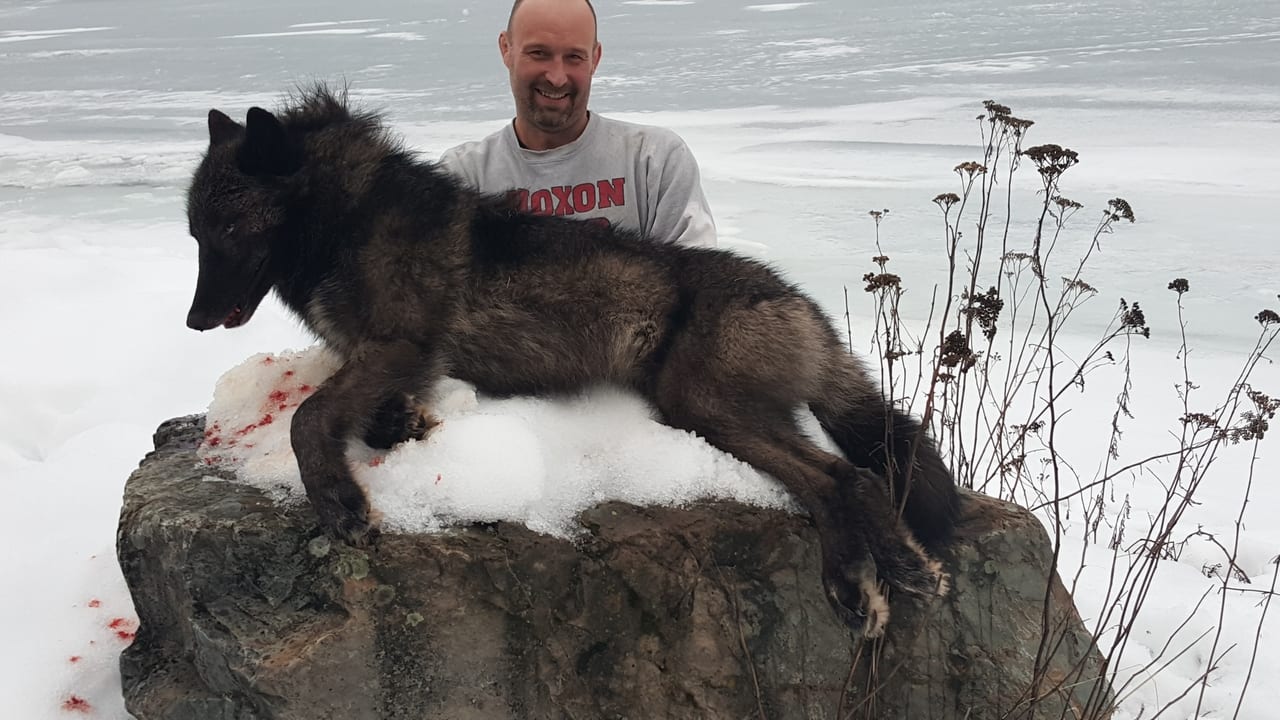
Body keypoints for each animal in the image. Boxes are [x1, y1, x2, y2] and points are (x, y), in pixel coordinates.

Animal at [183, 87, 960, 636]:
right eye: (194, 231)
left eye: (228, 227)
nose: (191, 322)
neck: (346, 215)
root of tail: (799, 302)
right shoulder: (389, 359)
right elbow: (369, 416)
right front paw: (403, 426)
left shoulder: (398, 345)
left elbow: (308, 419)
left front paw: (339, 503)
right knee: (846, 476)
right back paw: (885, 577)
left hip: (702, 407)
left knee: (842, 476)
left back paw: (871, 580)